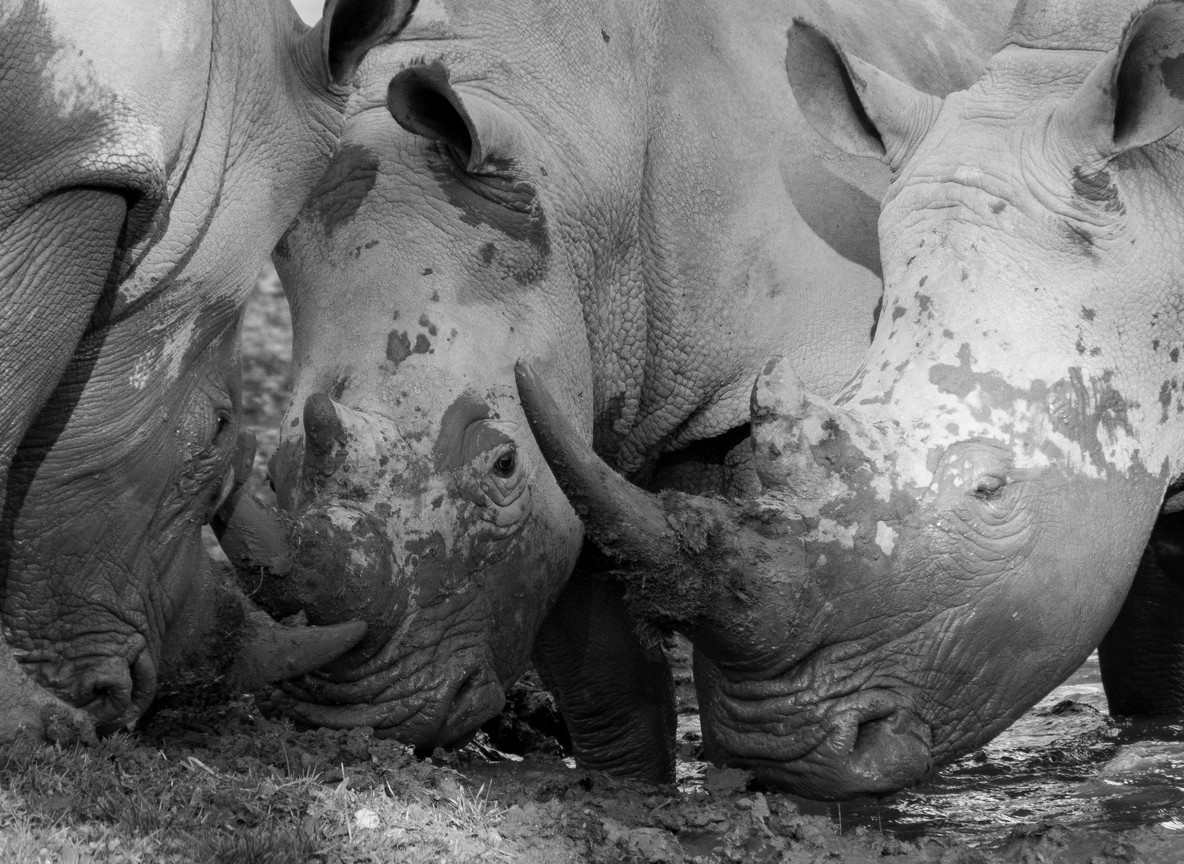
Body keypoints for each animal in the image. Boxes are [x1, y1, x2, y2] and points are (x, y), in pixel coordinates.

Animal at [219, 0, 1016, 780]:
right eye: (275, 474)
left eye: (502, 465)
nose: (355, 721)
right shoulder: (569, 409)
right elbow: (598, 664)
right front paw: (629, 791)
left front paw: (768, 791)